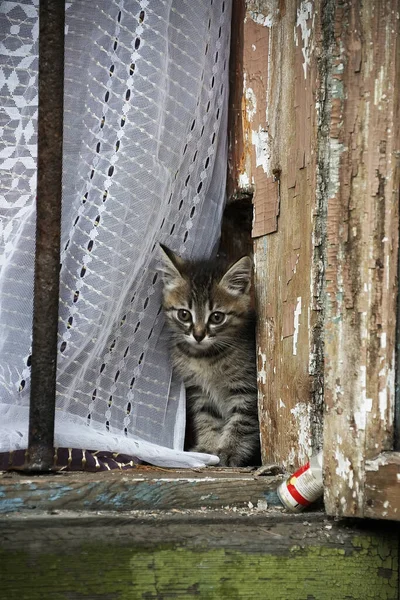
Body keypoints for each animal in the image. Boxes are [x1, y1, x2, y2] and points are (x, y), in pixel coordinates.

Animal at [159, 245, 262, 468]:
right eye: (184, 315)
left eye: (216, 317)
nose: (198, 335)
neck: (204, 357)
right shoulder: (200, 392)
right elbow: (207, 419)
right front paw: (208, 448)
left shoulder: (247, 390)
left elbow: (242, 422)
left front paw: (229, 451)